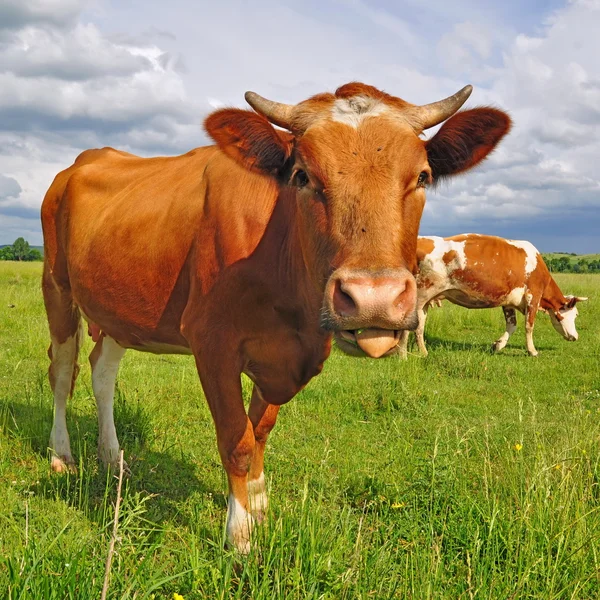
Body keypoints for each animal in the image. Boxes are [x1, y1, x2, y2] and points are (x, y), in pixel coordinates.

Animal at [42, 82, 510, 552]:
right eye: (302, 176)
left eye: (423, 177)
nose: (373, 298)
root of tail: (87, 158)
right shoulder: (212, 343)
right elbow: (237, 439)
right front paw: (240, 534)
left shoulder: (285, 353)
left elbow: (261, 429)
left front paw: (258, 503)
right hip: (57, 288)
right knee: (63, 373)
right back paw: (62, 455)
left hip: (116, 309)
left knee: (102, 372)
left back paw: (111, 457)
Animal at [398, 233, 584, 356]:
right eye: (574, 315)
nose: (576, 337)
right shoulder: (533, 296)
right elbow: (529, 326)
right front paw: (532, 351)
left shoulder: (509, 301)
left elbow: (512, 325)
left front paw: (498, 345)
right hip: (421, 294)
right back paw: (403, 354)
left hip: (426, 300)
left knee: (420, 325)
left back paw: (423, 352)